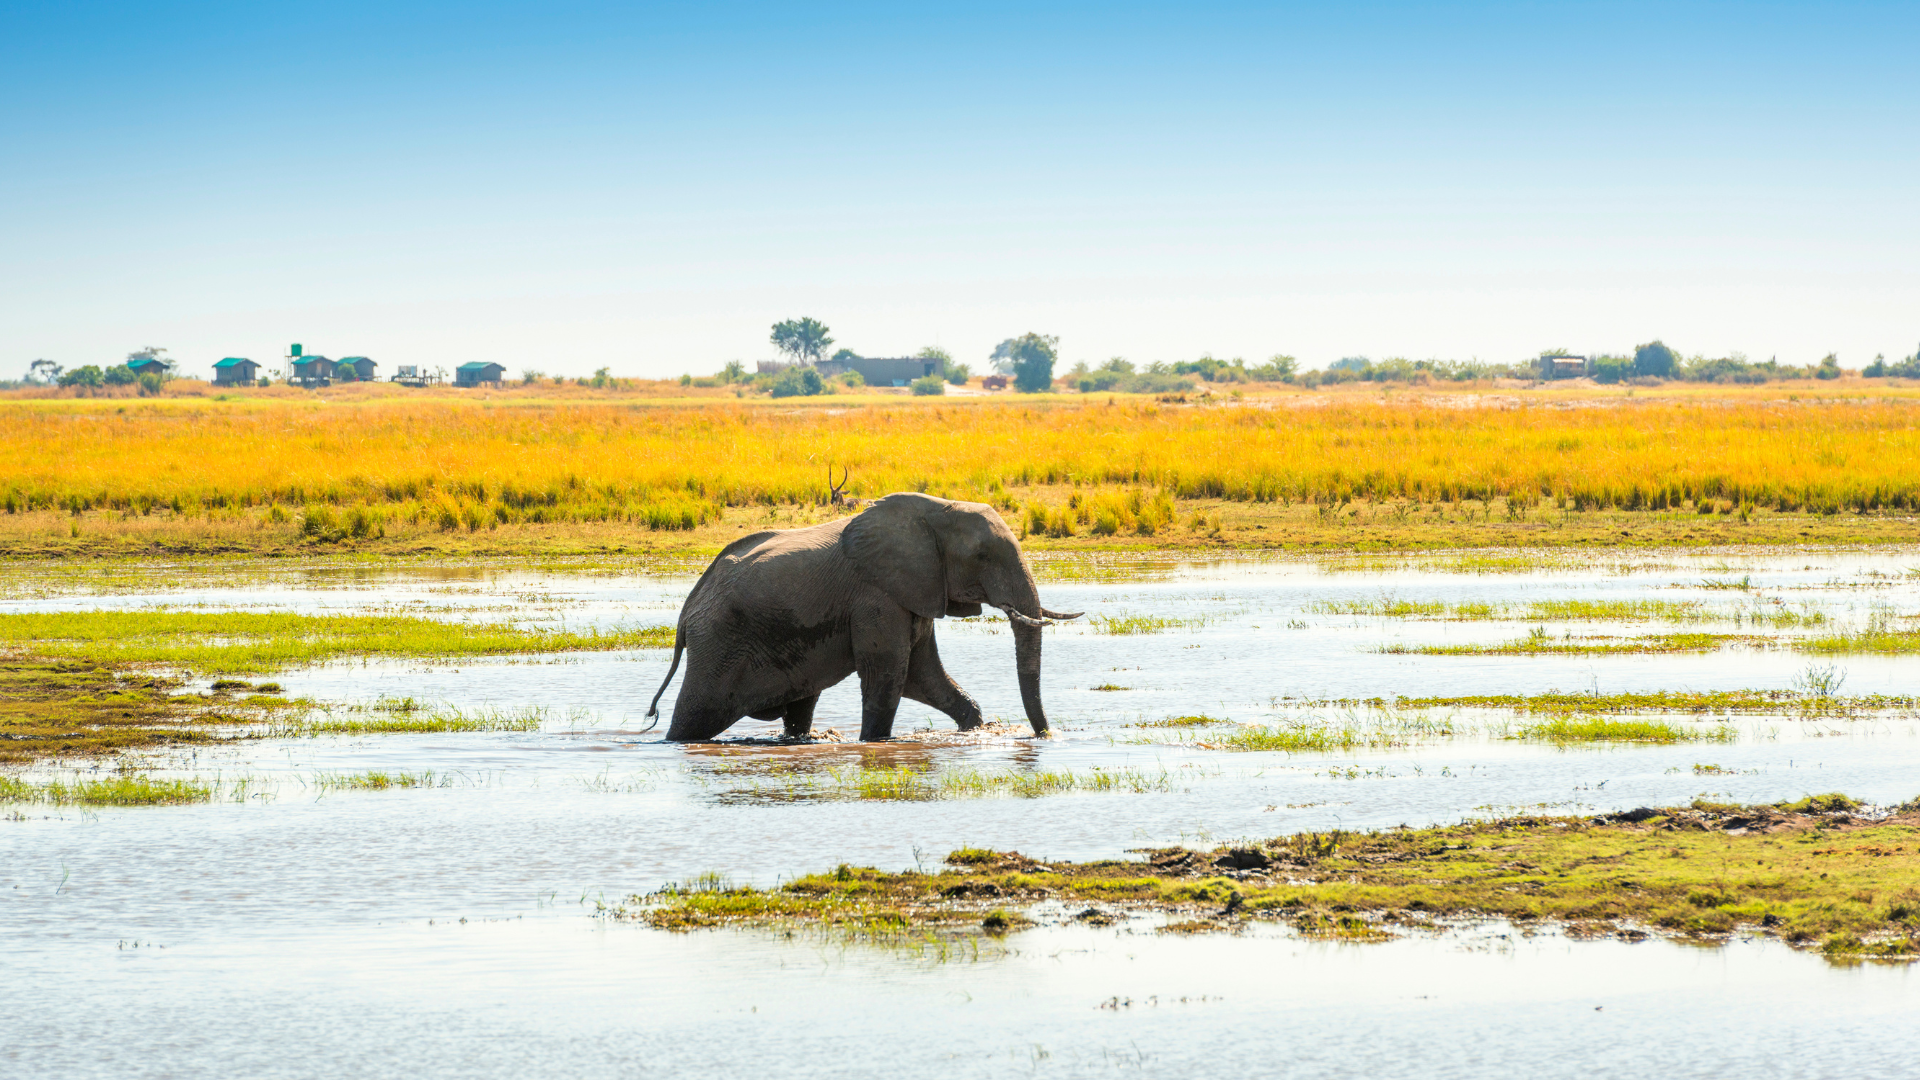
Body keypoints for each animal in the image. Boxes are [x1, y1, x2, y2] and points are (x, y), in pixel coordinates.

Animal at [646, 492, 1082, 742]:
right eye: (982, 556)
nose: (1044, 737)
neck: (933, 512)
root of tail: (688, 610)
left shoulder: (914, 591)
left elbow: (924, 677)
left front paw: (974, 727)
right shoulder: (877, 598)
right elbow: (888, 676)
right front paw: (874, 745)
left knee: (800, 707)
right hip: (718, 643)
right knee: (694, 716)